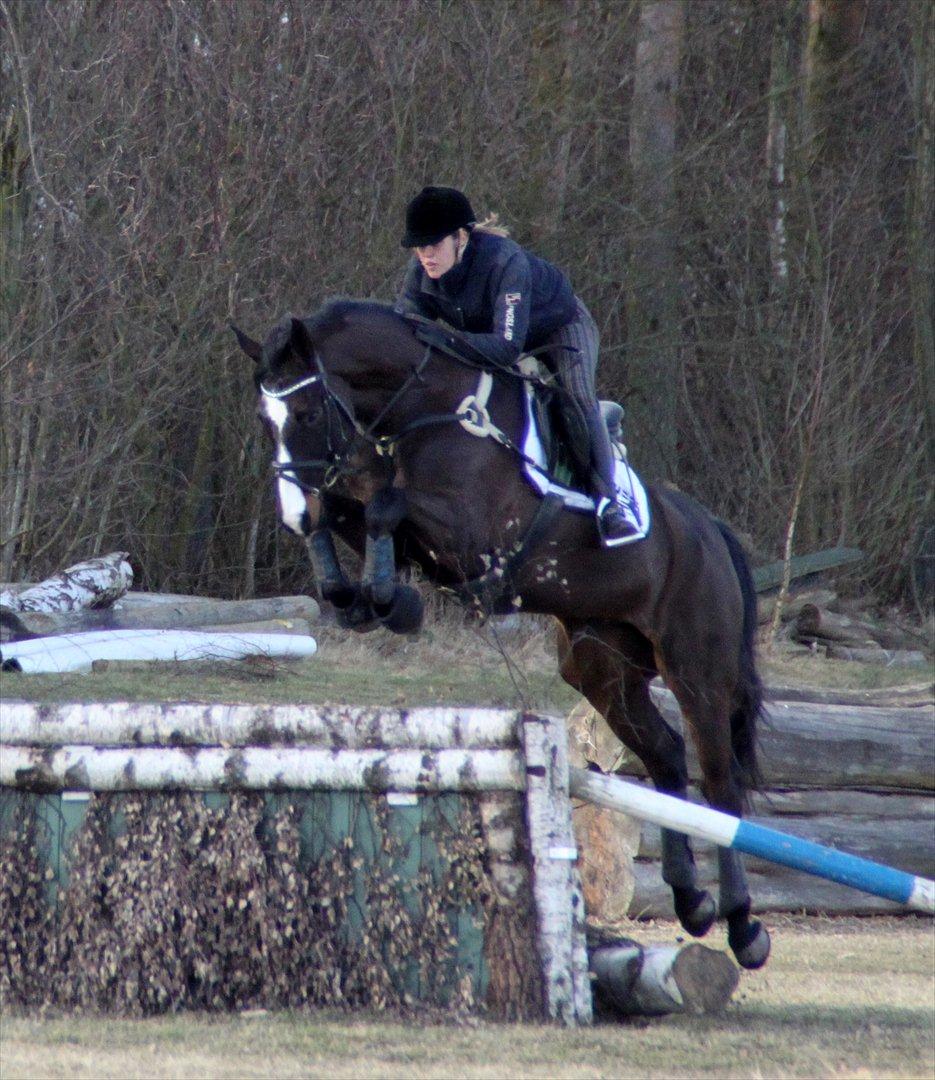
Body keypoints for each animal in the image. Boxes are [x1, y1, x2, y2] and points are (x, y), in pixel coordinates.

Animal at [235, 300, 773, 967]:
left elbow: (385, 505)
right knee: (667, 758)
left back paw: (743, 926)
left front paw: (388, 599)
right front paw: (369, 598)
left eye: (308, 413)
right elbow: (350, 512)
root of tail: (711, 531)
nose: (291, 511)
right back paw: (691, 902)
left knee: (720, 783)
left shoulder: (475, 536)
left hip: (696, 668)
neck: (427, 408)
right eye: (266, 420)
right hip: (602, 668)